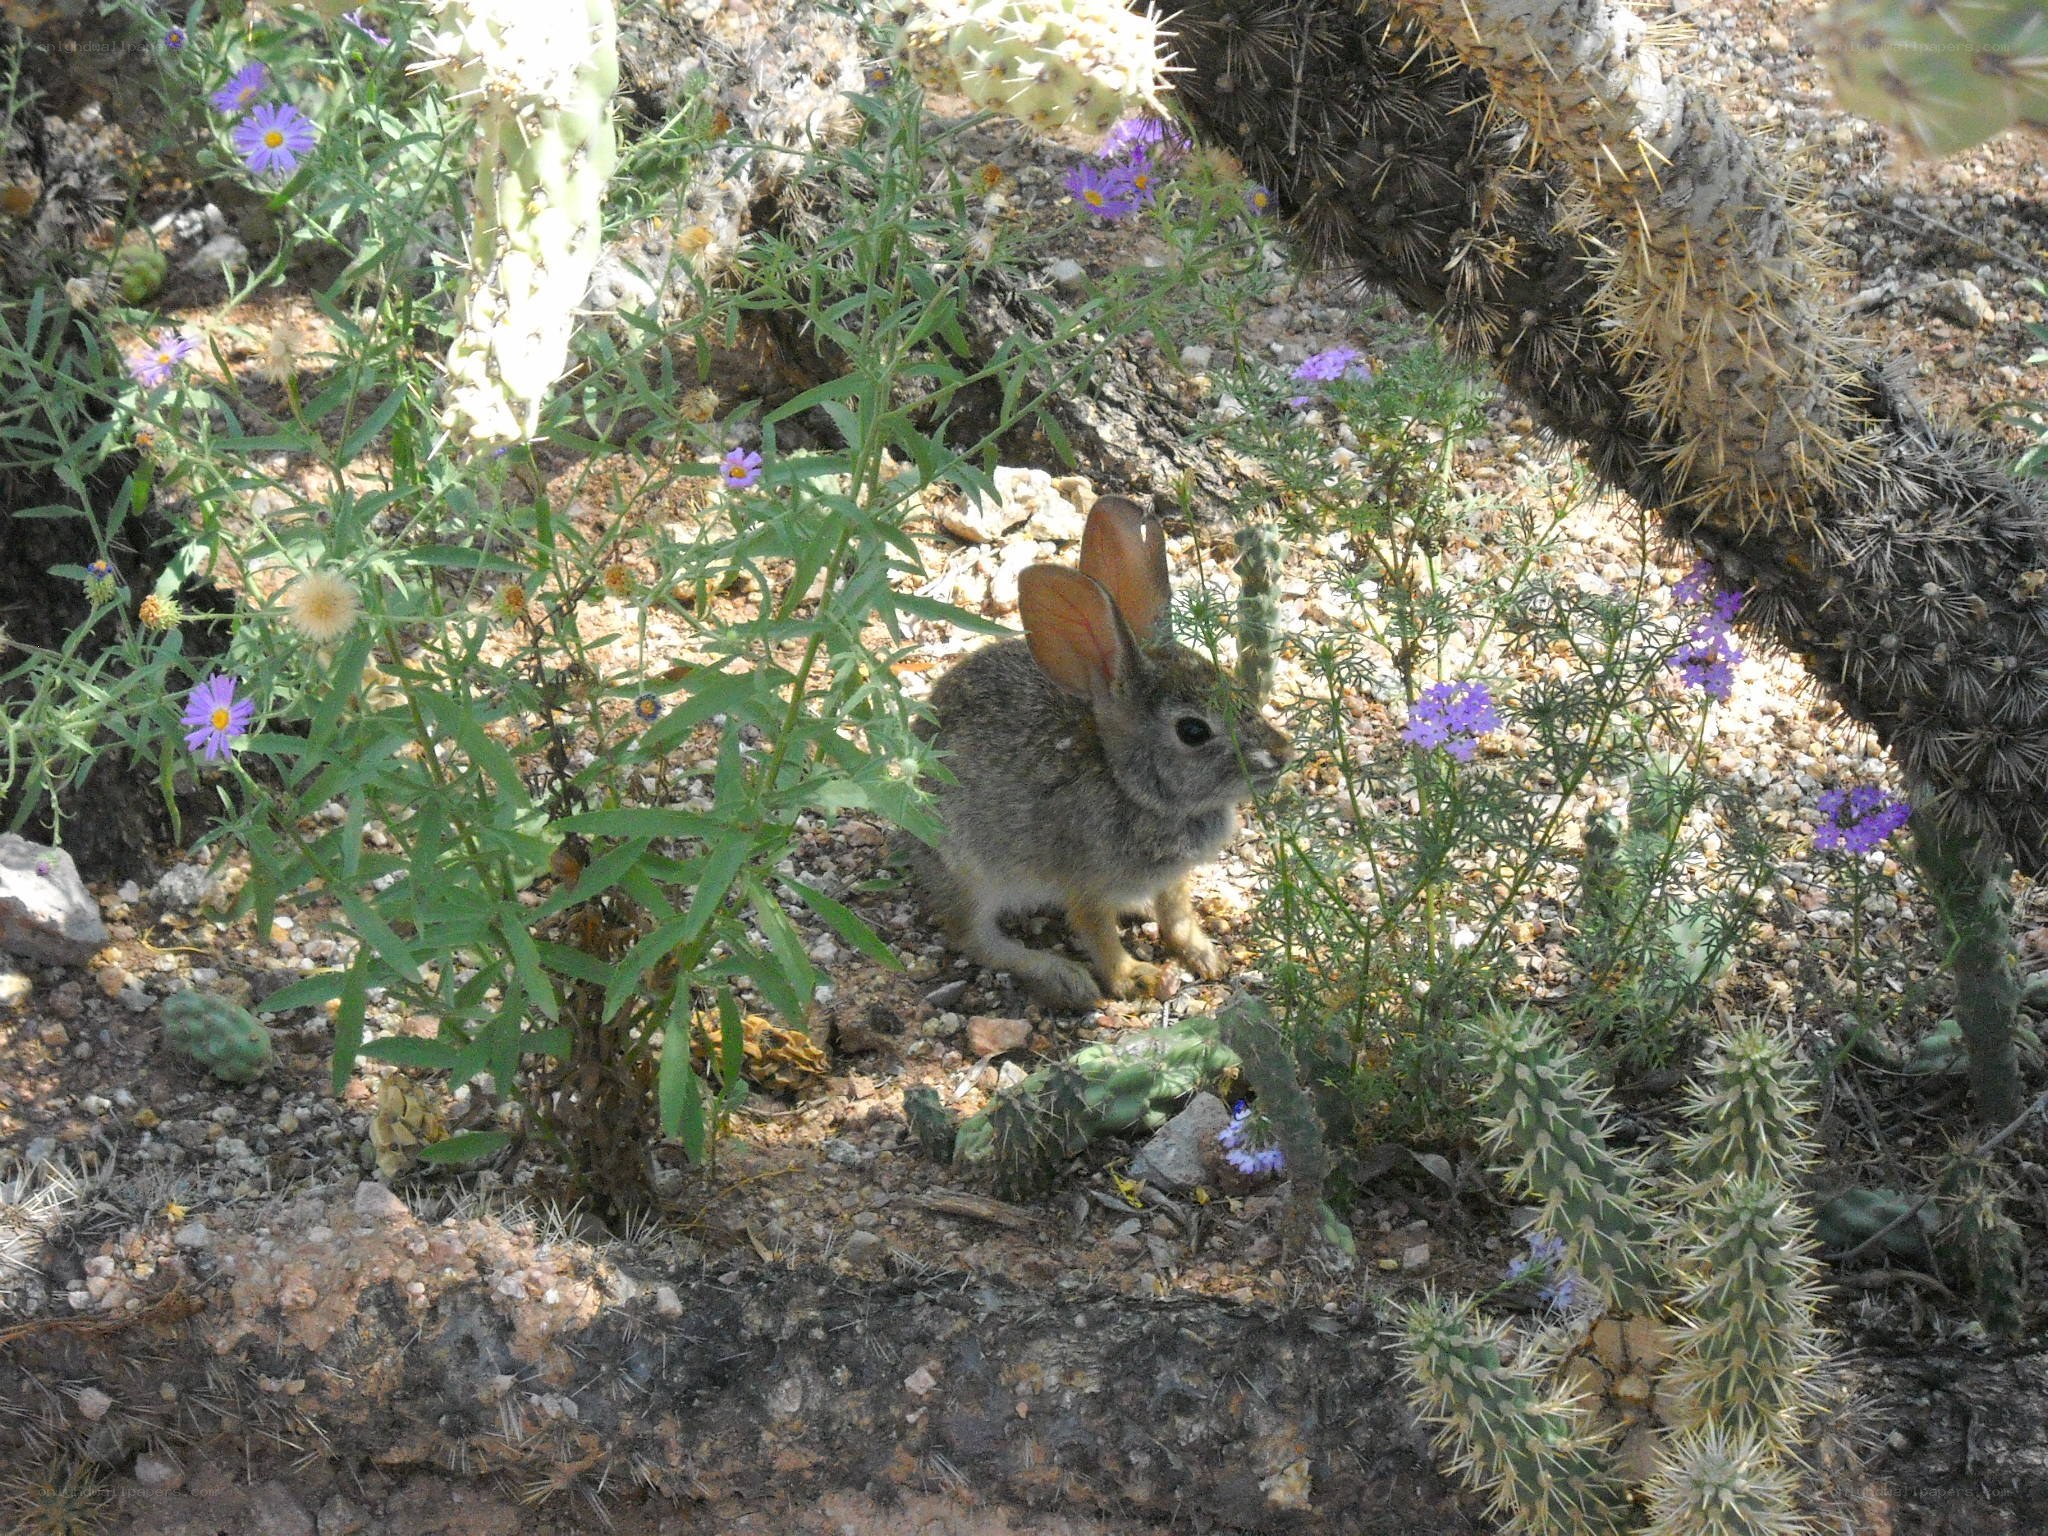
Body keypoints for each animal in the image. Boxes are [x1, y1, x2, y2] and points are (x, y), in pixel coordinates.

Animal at [903, 494, 1292, 1010]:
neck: (1125, 781)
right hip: (970, 871)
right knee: (974, 936)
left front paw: (1205, 956)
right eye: (1193, 731)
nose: (1282, 755)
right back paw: (1061, 976)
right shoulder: (1086, 882)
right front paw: (1134, 978)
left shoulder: (1170, 879)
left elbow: (1175, 912)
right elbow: (1097, 932)